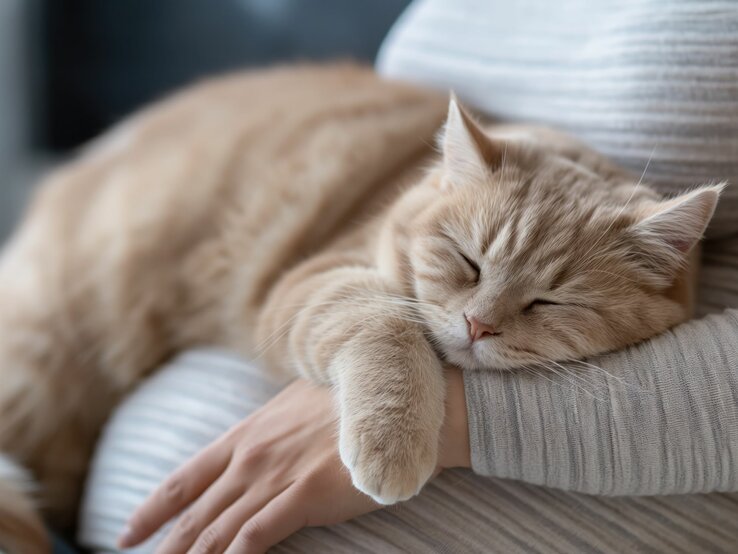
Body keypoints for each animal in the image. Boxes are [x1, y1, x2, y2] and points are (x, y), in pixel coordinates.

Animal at [0, 63, 720, 548]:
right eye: (468, 262)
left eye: (550, 300)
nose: (478, 324)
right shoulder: (310, 283)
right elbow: (387, 322)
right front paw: (393, 441)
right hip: (39, 365)